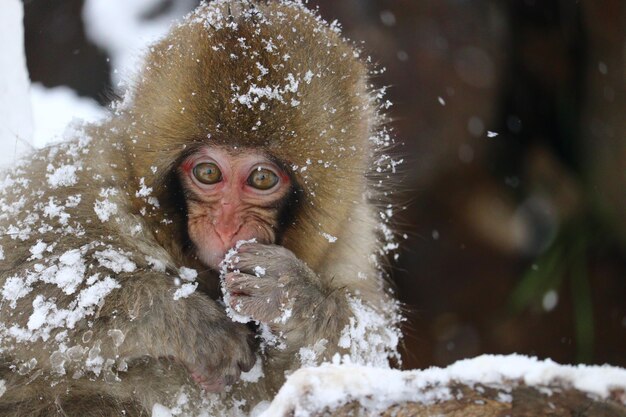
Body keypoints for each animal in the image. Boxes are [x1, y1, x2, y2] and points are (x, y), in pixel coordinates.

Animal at [0, 1, 400, 414]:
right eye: (208, 172)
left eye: (262, 178)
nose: (225, 226)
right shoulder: (91, 174)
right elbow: (25, 282)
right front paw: (193, 325)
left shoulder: (352, 238)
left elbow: (361, 354)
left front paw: (291, 294)